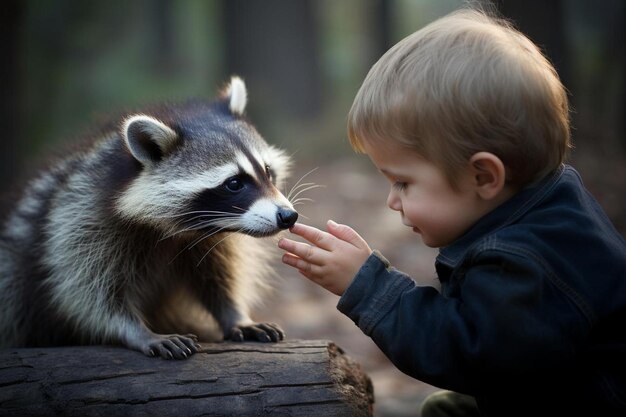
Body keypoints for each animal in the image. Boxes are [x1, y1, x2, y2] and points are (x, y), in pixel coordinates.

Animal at [0, 77, 296, 358]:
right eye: (234, 183)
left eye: (267, 171)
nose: (288, 216)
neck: (179, 231)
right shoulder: (78, 216)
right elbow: (85, 292)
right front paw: (135, 330)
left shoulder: (209, 239)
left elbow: (217, 274)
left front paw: (234, 314)